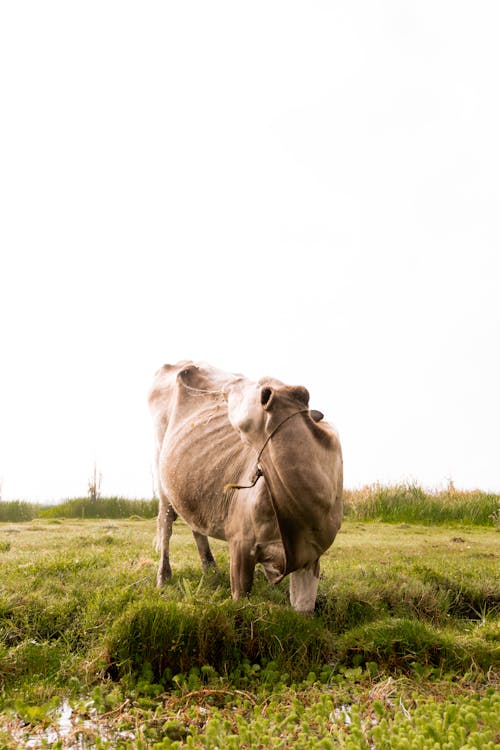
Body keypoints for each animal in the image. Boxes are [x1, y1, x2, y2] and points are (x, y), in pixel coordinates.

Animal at [149, 362, 344, 612]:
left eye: (252, 385)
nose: (229, 384)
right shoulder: (241, 543)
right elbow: (241, 601)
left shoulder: (311, 558)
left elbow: (303, 610)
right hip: (161, 476)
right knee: (166, 526)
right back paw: (163, 578)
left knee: (195, 524)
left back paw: (211, 570)